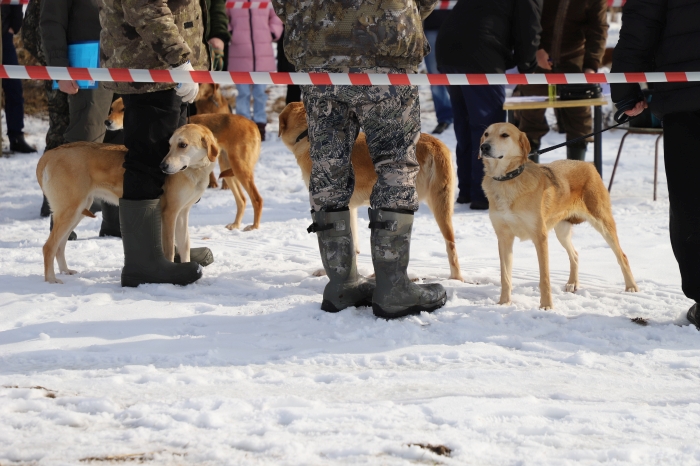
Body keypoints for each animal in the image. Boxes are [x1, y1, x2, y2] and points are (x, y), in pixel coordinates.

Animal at [37, 124, 221, 284]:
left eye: (182, 145)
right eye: (170, 145)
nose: (162, 166)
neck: (195, 171)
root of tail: (50, 154)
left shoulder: (182, 214)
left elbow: (185, 246)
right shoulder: (169, 214)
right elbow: (169, 250)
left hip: (78, 211)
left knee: (60, 246)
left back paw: (65, 271)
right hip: (70, 210)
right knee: (48, 247)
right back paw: (51, 279)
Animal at [478, 123, 636, 310]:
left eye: (504, 135)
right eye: (486, 134)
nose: (484, 147)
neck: (507, 180)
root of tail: (588, 164)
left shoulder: (540, 237)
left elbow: (544, 278)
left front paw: (546, 306)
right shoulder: (504, 239)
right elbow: (505, 277)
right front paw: (504, 303)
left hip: (603, 224)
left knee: (622, 256)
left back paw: (631, 286)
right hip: (562, 231)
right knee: (575, 254)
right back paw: (573, 283)